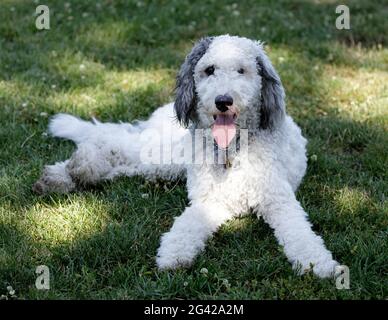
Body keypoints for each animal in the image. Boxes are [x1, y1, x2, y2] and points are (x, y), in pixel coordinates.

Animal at [34, 34, 342, 278]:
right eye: (209, 70)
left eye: (242, 70)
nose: (223, 101)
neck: (231, 150)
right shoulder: (209, 200)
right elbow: (186, 226)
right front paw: (173, 254)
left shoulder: (276, 201)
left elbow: (301, 234)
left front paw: (319, 264)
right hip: (166, 154)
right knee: (114, 141)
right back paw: (70, 170)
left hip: (162, 166)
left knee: (122, 161)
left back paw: (73, 174)